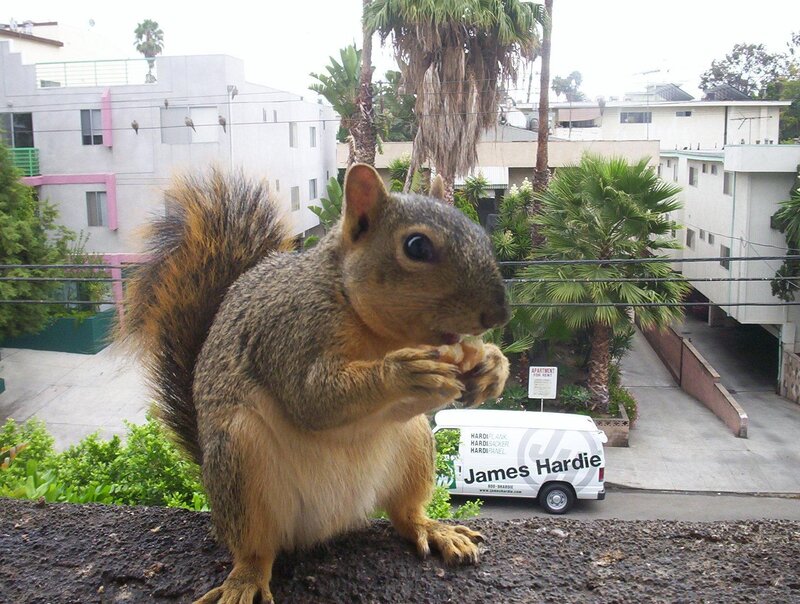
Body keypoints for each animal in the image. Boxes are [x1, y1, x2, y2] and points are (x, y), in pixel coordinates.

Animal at [122, 163, 510, 603]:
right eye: (417, 246)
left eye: (478, 231)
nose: (499, 313)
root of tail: (326, 524)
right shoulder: (290, 331)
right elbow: (311, 399)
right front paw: (405, 372)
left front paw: (492, 366)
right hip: (239, 459)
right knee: (254, 547)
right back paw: (244, 581)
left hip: (412, 445)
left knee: (405, 513)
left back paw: (435, 529)